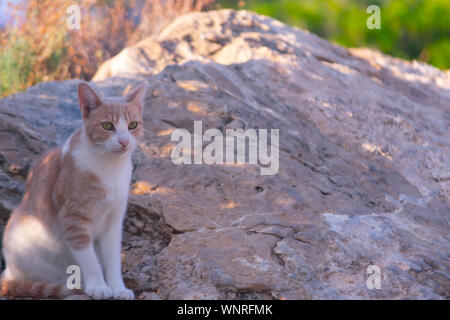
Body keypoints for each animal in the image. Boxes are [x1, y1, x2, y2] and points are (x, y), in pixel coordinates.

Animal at [1, 80, 148, 300]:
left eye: (133, 125)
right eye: (107, 126)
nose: (124, 141)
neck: (110, 168)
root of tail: (8, 272)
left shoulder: (114, 221)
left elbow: (113, 258)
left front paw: (117, 287)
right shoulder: (73, 219)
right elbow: (89, 259)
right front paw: (98, 286)